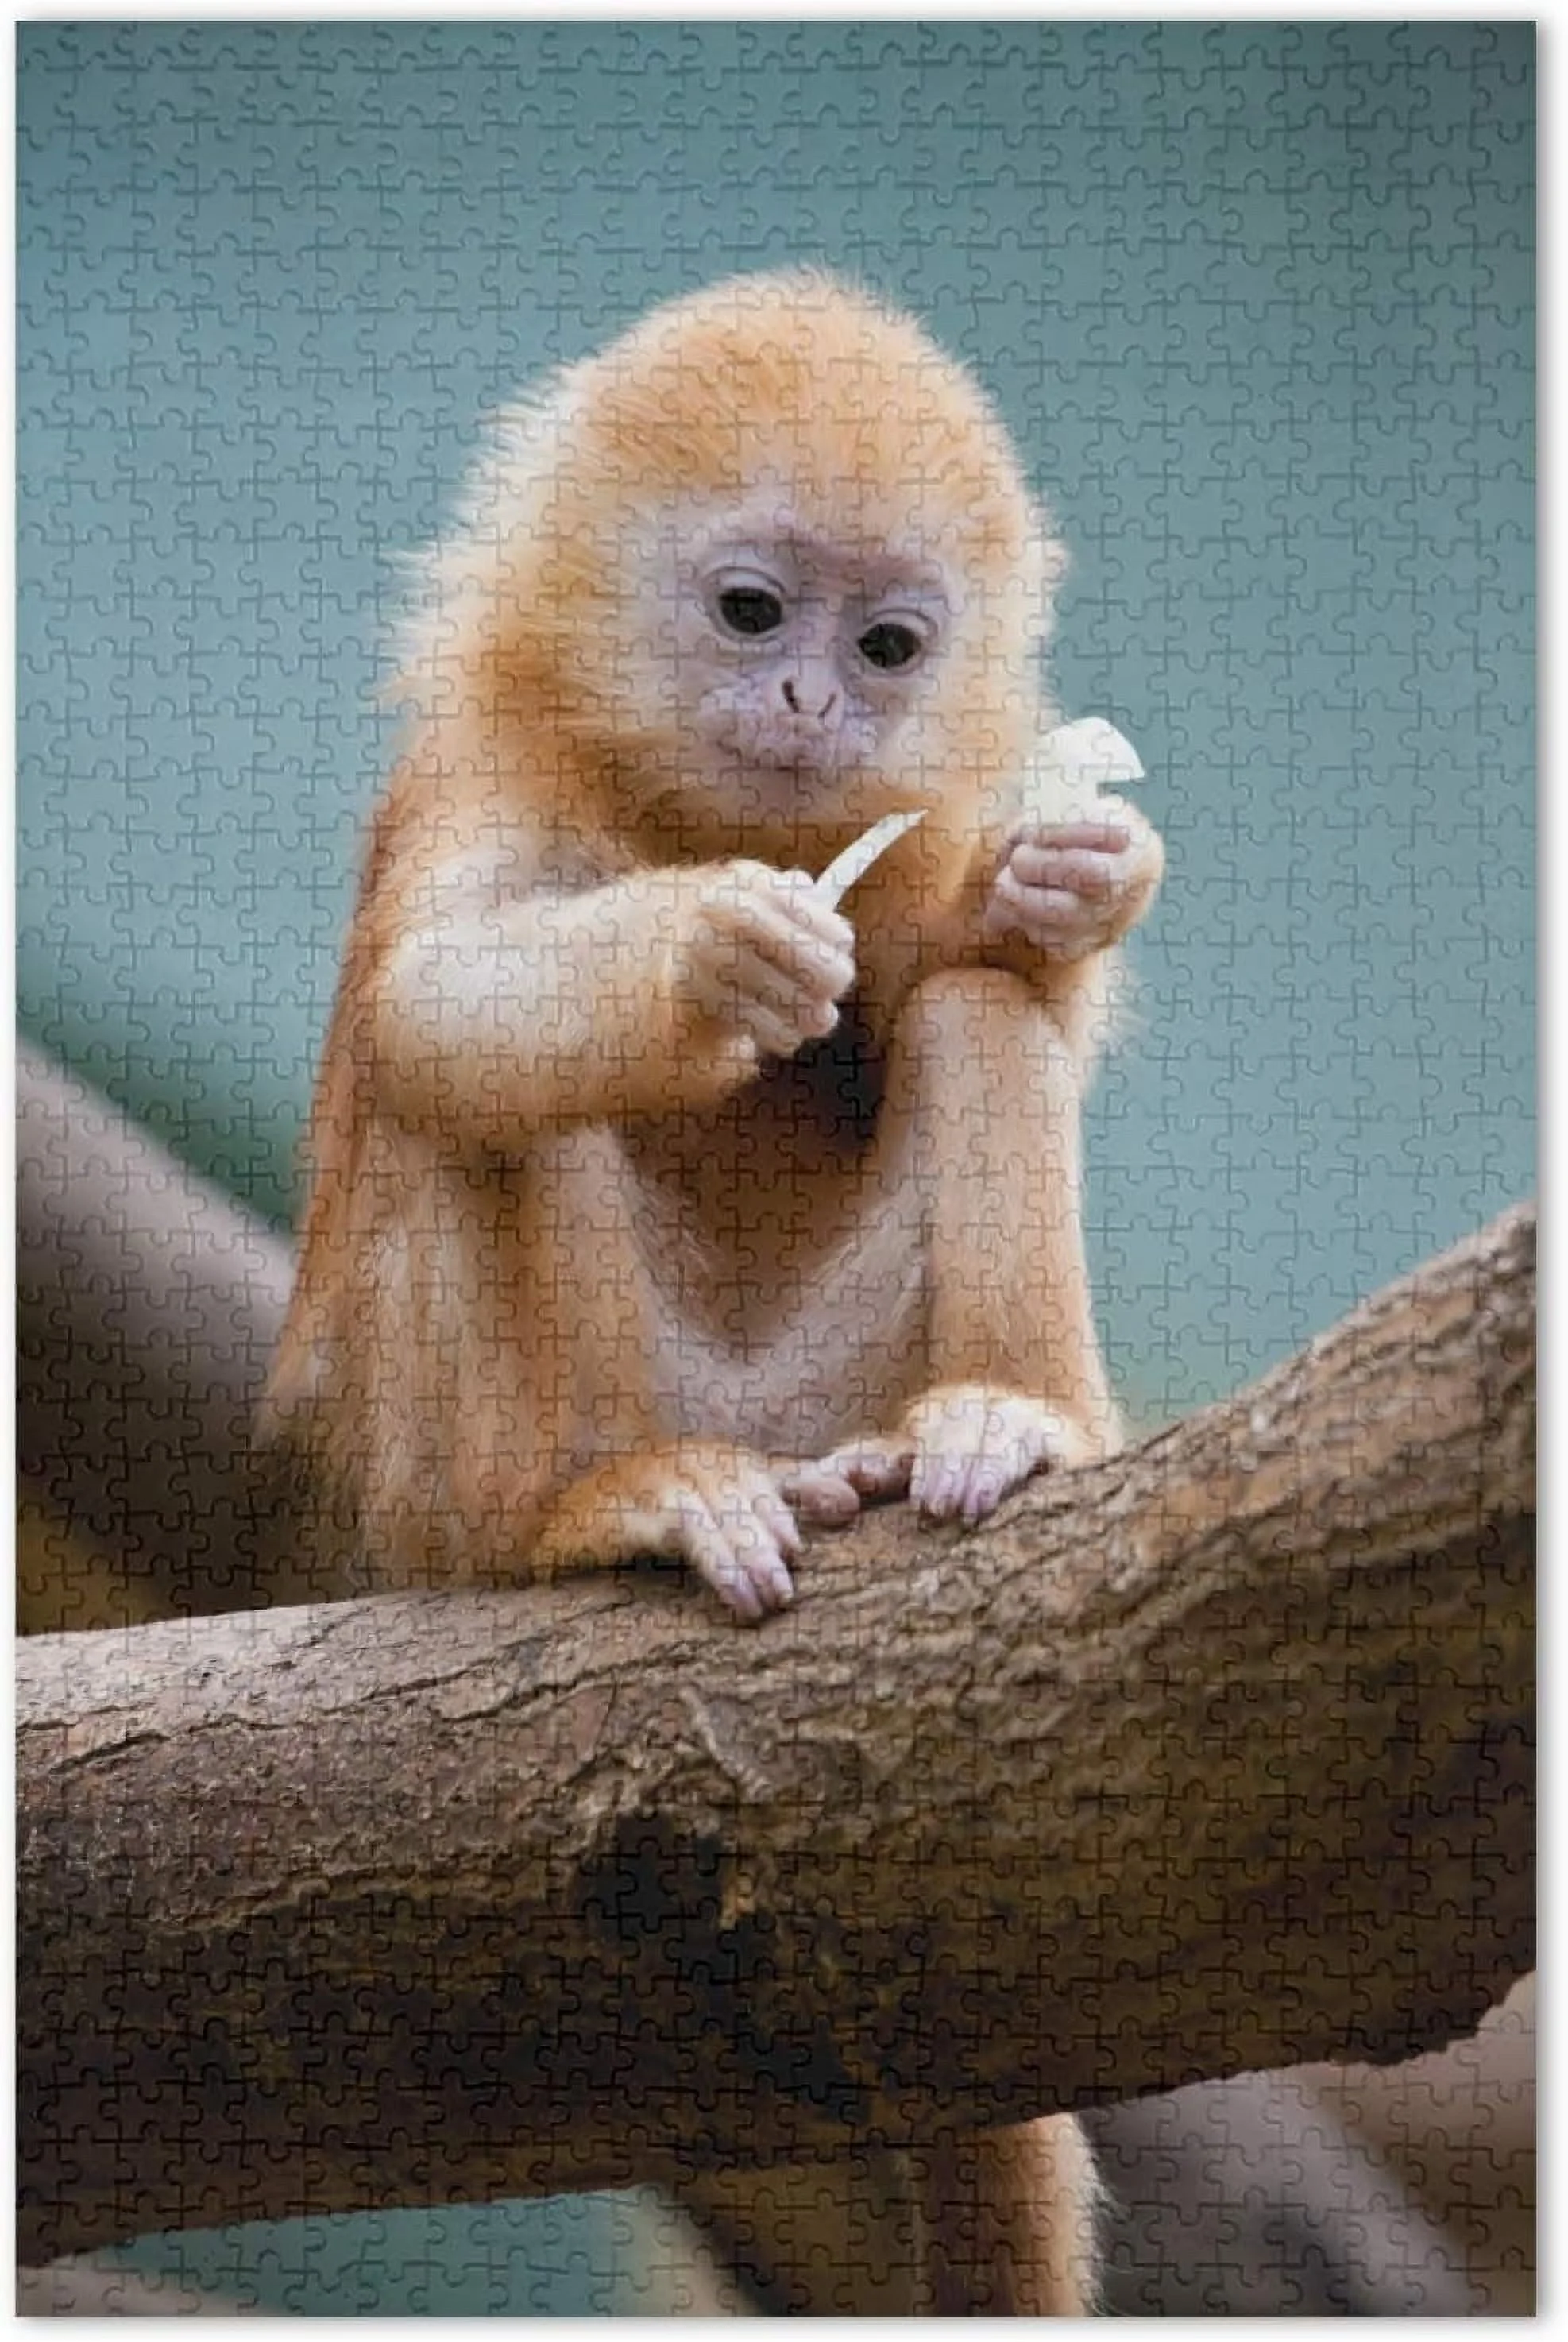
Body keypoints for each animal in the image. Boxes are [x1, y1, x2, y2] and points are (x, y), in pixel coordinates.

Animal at [264, 269, 1163, 2314]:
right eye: (754, 611)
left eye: (890, 643)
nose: (814, 697)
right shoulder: (493, 781)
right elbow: (444, 1012)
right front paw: (706, 956)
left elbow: (954, 978)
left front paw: (1074, 877)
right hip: (454, 1489)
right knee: (516, 1104)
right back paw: (622, 1501)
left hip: (850, 1380)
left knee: (973, 1027)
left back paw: (1012, 1423)